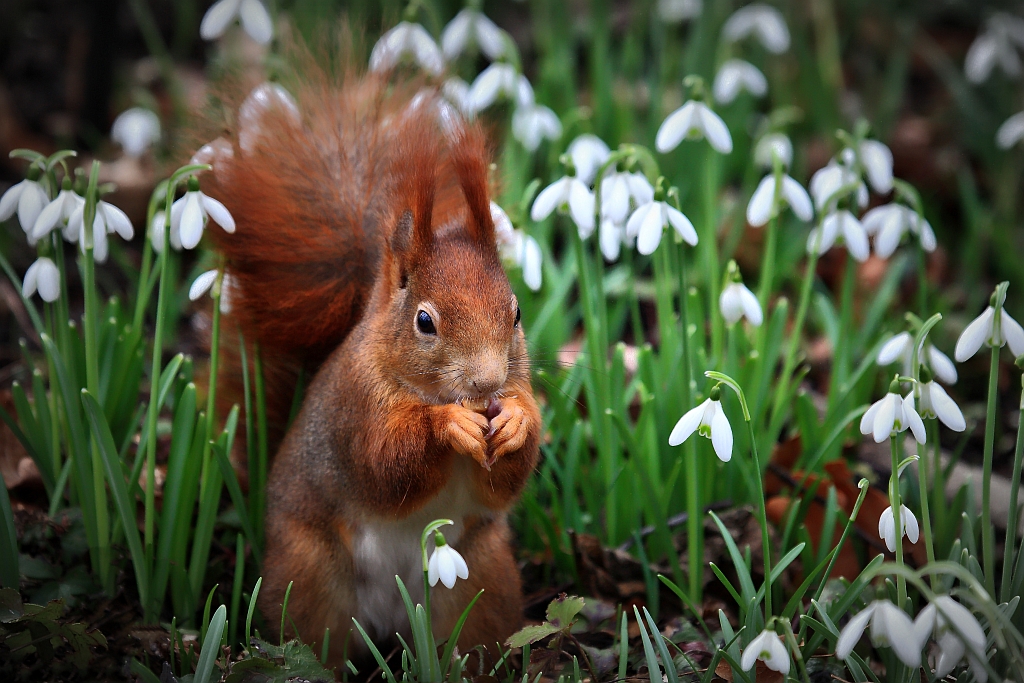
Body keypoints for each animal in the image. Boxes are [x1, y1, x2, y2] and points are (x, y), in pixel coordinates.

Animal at [197, 70, 544, 667]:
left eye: (516, 311)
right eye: (425, 321)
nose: (487, 384)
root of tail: (390, 626)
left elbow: (503, 483)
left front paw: (518, 419)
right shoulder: (354, 408)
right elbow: (384, 463)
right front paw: (447, 425)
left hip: (483, 575)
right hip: (310, 574)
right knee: (316, 639)